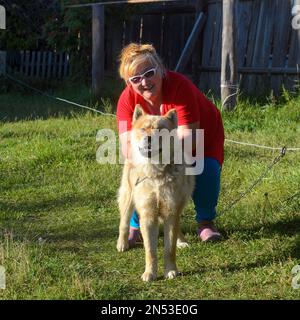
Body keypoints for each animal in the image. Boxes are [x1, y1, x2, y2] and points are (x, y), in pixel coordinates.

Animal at [115, 104, 195, 282]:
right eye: (143, 129)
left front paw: (171, 270)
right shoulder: (148, 215)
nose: (149, 139)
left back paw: (181, 241)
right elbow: (150, 251)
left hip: (181, 201)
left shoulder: (171, 211)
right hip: (128, 198)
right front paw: (150, 273)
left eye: (160, 130)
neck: (156, 173)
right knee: (124, 222)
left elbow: (169, 249)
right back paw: (122, 243)